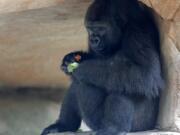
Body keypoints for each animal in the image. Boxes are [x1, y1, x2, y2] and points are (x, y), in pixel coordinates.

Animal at [41, 0, 165, 134]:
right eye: (90, 29)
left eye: (101, 28)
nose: (93, 40)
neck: (125, 26)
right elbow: (95, 58)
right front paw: (72, 58)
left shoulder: (139, 31)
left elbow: (145, 74)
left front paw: (83, 69)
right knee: (77, 86)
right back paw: (65, 125)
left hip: (140, 125)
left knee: (126, 85)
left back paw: (113, 128)